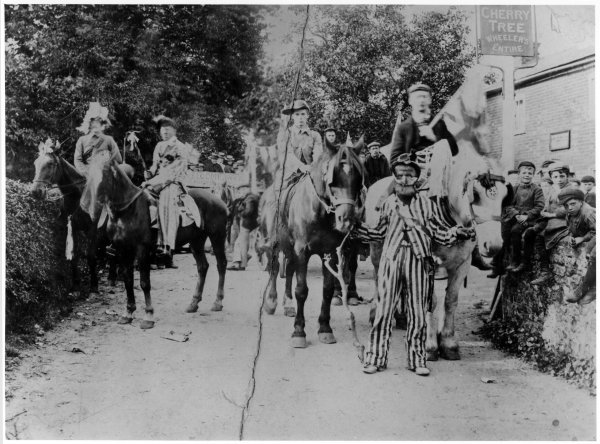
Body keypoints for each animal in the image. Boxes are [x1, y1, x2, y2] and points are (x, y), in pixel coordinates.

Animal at [82, 152, 229, 328]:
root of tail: (219, 200)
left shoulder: (142, 250)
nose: (86, 204)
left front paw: (148, 316)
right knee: (203, 266)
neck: (127, 211)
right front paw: (128, 313)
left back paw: (218, 302)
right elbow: (127, 279)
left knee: (221, 264)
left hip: (217, 237)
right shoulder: (123, 250)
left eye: (104, 172)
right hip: (196, 241)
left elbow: (144, 282)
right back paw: (193, 303)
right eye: (88, 172)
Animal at [259, 139, 366, 348]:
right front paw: (299, 331)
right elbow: (301, 290)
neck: (319, 211)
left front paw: (325, 328)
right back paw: (271, 301)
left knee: (289, 270)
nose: (346, 220)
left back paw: (288, 304)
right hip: (275, 244)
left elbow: (327, 291)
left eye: (358, 179)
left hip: (289, 247)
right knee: (274, 269)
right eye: (333, 178)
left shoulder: (330, 253)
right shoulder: (302, 251)